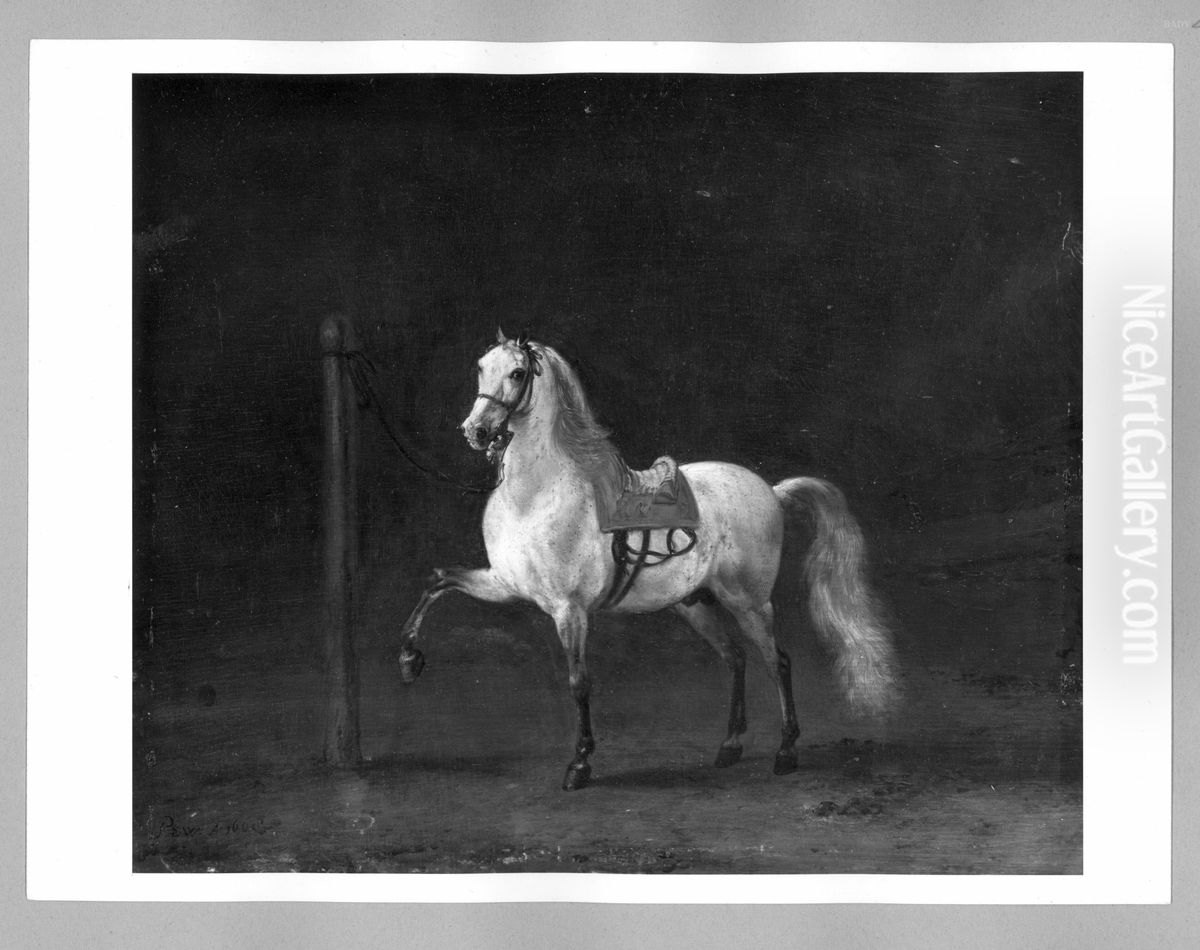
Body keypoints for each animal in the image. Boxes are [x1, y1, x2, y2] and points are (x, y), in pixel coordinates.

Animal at [397, 329, 897, 790]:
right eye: (481, 367)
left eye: (518, 373)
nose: (476, 431)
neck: (536, 494)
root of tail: (770, 490)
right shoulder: (504, 584)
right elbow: (438, 581)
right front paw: (408, 659)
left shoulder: (569, 610)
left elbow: (579, 682)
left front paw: (580, 764)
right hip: (695, 604)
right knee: (735, 657)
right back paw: (730, 746)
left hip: (749, 602)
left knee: (778, 661)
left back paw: (786, 751)